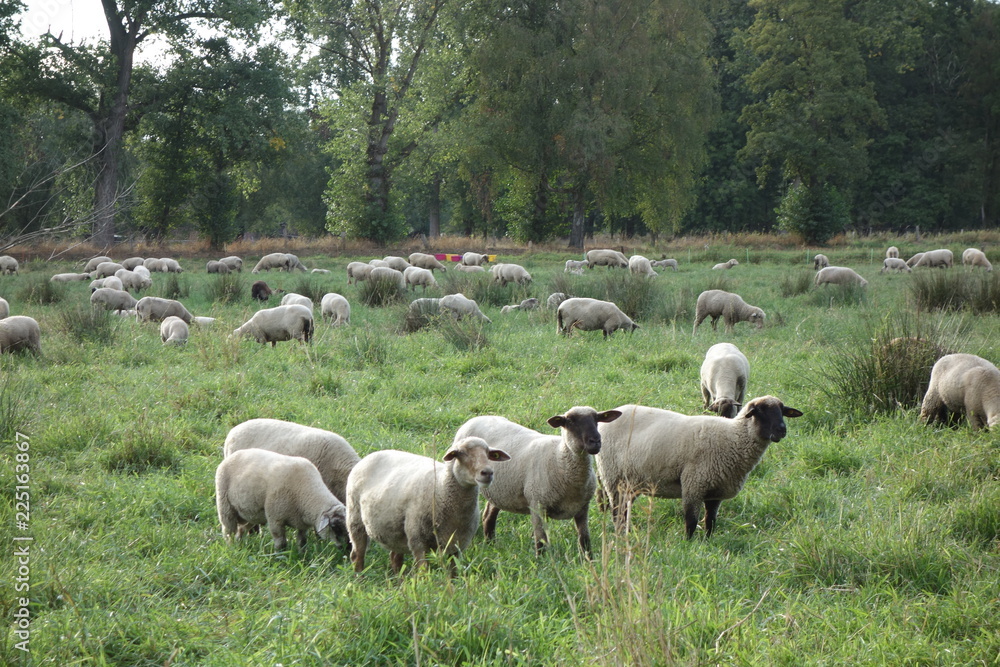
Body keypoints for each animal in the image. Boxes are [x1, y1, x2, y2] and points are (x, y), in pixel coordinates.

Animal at [213, 448, 350, 552]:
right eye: (335, 527)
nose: (347, 549)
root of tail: (234, 454)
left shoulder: (302, 523)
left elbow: (302, 541)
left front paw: (302, 554)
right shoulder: (275, 518)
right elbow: (281, 542)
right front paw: (280, 556)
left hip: (252, 513)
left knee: (241, 529)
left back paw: (239, 545)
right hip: (225, 506)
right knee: (228, 531)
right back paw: (231, 547)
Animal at [348, 438, 512, 576]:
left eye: (488, 453)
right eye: (461, 453)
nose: (487, 473)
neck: (441, 487)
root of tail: (372, 454)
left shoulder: (457, 545)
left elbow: (453, 573)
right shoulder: (418, 541)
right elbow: (423, 573)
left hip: (394, 530)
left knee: (395, 558)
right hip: (355, 518)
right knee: (357, 555)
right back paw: (359, 579)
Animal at [456, 408, 624, 560]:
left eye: (597, 419)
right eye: (570, 421)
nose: (595, 441)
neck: (559, 457)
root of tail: (476, 418)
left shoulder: (582, 507)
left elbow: (584, 539)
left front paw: (589, 561)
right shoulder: (537, 504)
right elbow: (541, 541)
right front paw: (541, 564)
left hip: (499, 490)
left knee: (488, 515)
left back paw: (491, 543)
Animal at [592, 396, 804, 536]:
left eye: (782, 411)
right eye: (760, 412)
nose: (782, 430)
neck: (734, 437)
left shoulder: (716, 490)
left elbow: (711, 520)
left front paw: (708, 542)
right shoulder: (693, 484)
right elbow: (691, 521)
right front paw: (689, 544)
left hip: (630, 482)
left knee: (623, 511)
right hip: (613, 477)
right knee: (617, 513)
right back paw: (620, 534)